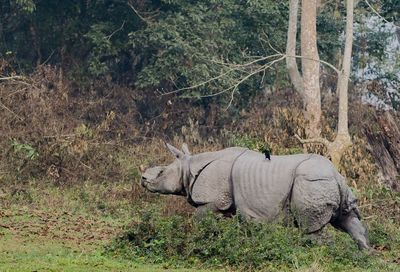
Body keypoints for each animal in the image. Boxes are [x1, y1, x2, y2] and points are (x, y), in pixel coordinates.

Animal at [141, 143, 372, 250]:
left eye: (161, 173)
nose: (142, 179)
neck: (189, 168)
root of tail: (336, 174)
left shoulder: (213, 200)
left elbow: (199, 220)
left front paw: (196, 240)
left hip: (311, 183)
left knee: (311, 230)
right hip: (329, 183)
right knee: (348, 220)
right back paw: (365, 256)